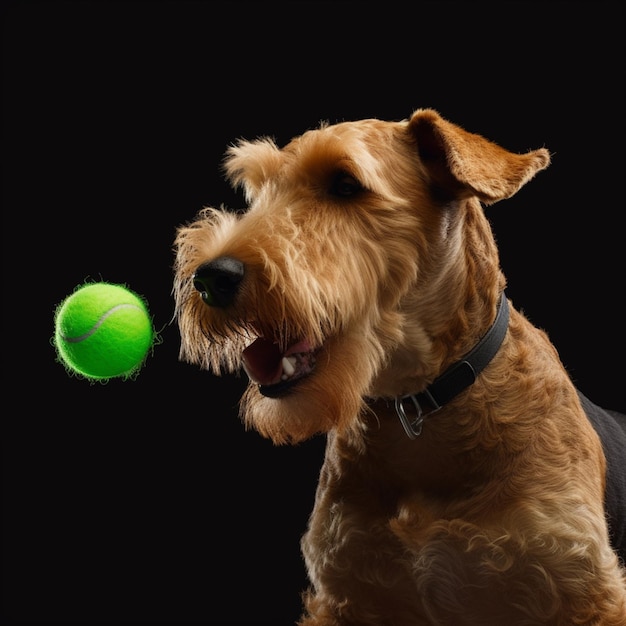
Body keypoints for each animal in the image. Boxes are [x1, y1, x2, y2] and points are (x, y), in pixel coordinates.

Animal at [172, 109, 624, 620]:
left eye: (345, 185)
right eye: (257, 190)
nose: (210, 278)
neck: (417, 410)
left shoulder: (586, 594)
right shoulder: (347, 597)